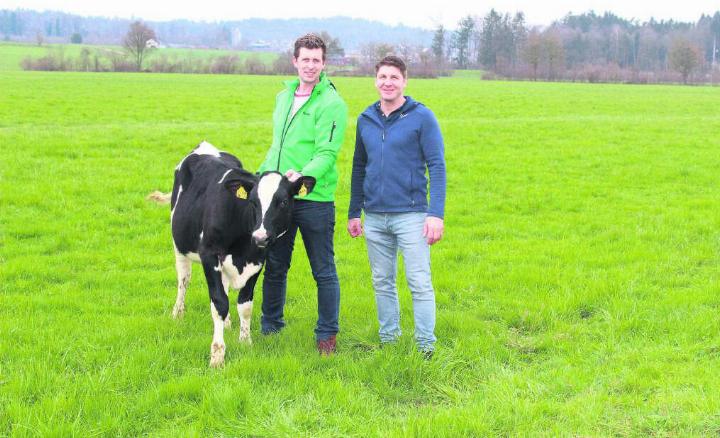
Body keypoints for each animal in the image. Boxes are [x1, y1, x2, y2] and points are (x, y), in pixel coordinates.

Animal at [152, 143, 316, 366]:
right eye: (253, 202)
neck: (243, 246)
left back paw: (228, 323)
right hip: (180, 245)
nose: (260, 236)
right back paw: (178, 313)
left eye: (283, 202)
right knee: (184, 280)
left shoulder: (258, 260)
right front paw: (217, 355)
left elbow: (245, 304)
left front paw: (245, 342)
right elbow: (219, 303)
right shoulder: (209, 255)